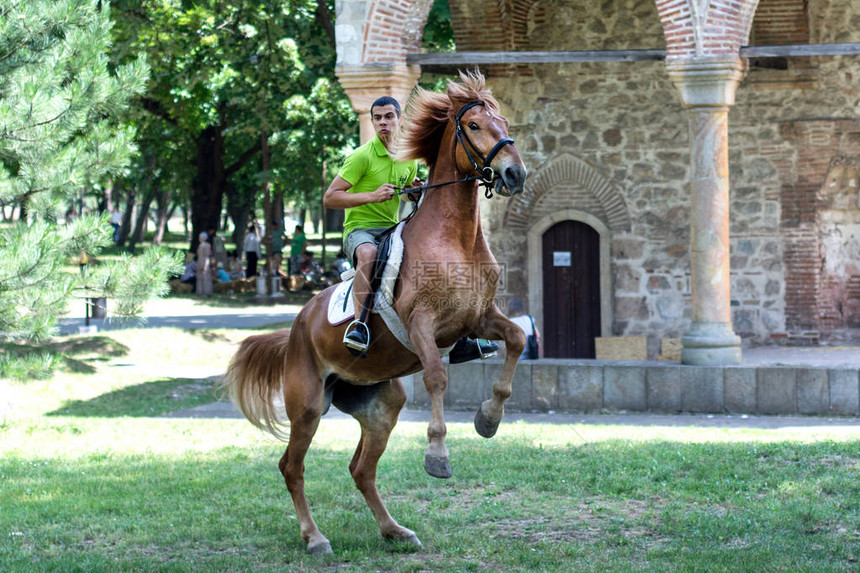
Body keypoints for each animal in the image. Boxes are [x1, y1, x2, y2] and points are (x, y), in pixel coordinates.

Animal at [225, 72, 528, 556]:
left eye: (504, 122)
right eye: (475, 125)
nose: (515, 173)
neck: (456, 238)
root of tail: (296, 327)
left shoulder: (478, 318)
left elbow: (517, 339)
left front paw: (488, 419)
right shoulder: (423, 323)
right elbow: (437, 378)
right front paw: (437, 455)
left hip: (382, 404)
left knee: (361, 469)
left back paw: (394, 530)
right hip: (307, 406)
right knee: (292, 466)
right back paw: (315, 538)